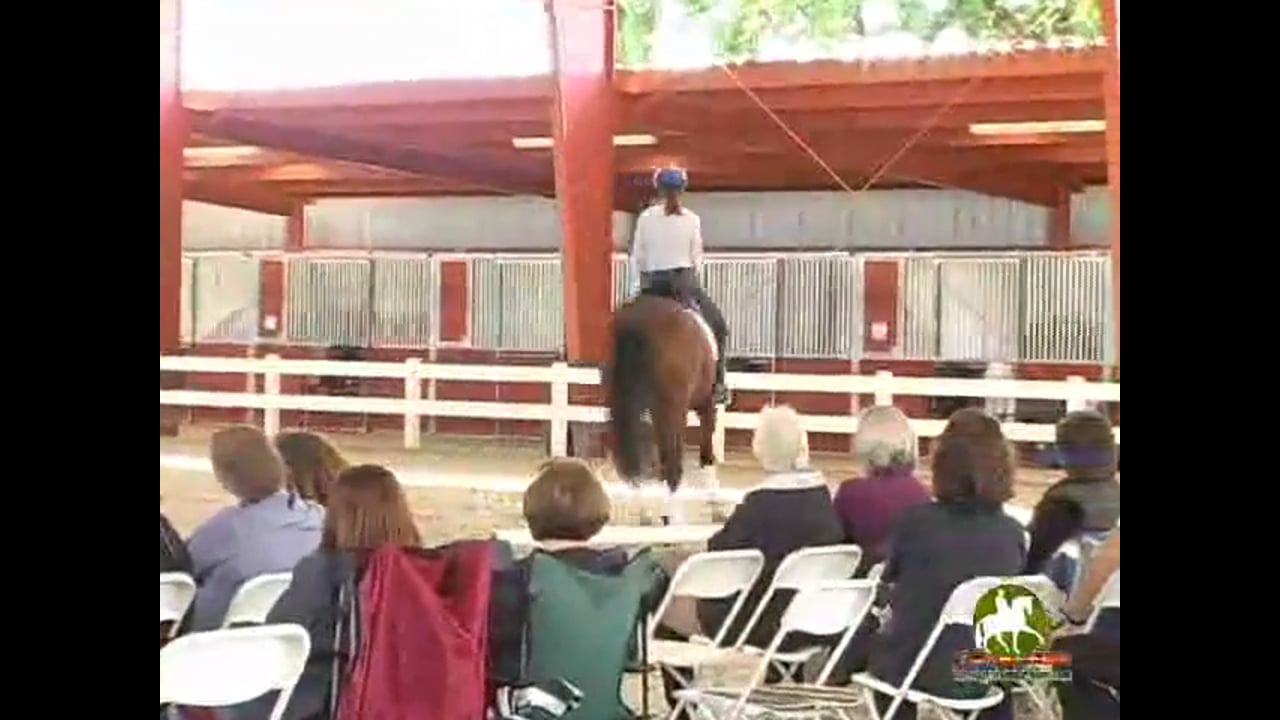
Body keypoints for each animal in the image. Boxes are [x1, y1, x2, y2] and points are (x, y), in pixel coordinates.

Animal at [606, 292, 719, 523]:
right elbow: (707, 453)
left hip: (630, 406)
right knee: (671, 462)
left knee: (633, 462)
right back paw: (672, 519)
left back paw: (646, 515)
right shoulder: (706, 405)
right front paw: (717, 509)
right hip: (671, 410)